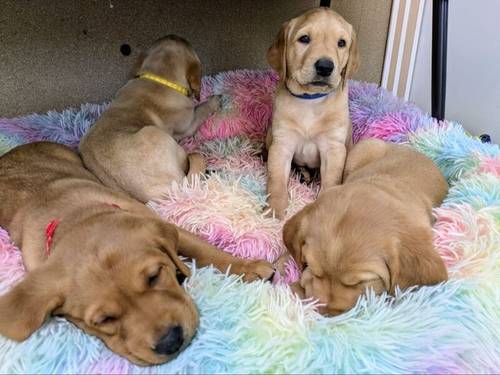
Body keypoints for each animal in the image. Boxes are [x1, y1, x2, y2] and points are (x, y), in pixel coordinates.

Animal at [0, 142, 274, 366]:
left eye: (154, 277)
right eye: (104, 320)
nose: (171, 342)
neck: (76, 217)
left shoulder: (154, 220)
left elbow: (205, 249)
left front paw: (250, 267)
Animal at [80, 35, 221, 204]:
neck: (159, 79)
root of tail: (168, 193)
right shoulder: (189, 123)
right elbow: (202, 109)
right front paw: (214, 101)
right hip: (157, 135)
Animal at [266, 6, 360, 220]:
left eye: (341, 43)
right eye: (304, 39)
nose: (325, 67)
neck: (311, 100)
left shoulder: (333, 149)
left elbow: (331, 181)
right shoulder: (282, 144)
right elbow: (276, 181)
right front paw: (274, 211)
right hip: (269, 136)